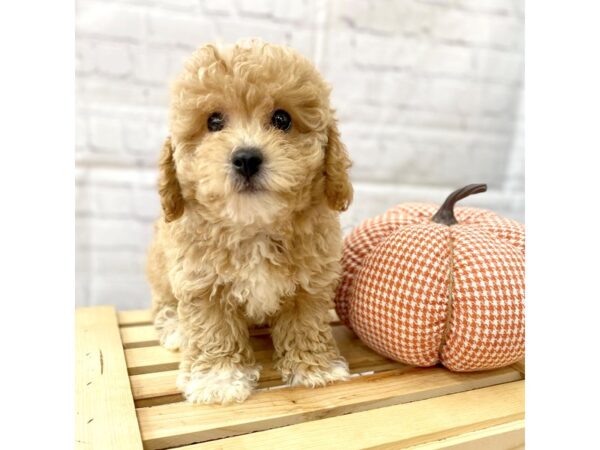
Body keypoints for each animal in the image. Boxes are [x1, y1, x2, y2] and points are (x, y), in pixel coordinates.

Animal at [145, 39, 352, 404]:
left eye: (282, 119)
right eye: (214, 122)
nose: (246, 158)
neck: (253, 227)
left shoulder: (310, 283)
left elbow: (306, 322)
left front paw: (316, 368)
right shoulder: (200, 283)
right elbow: (212, 331)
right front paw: (217, 380)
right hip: (161, 270)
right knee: (164, 305)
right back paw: (175, 329)